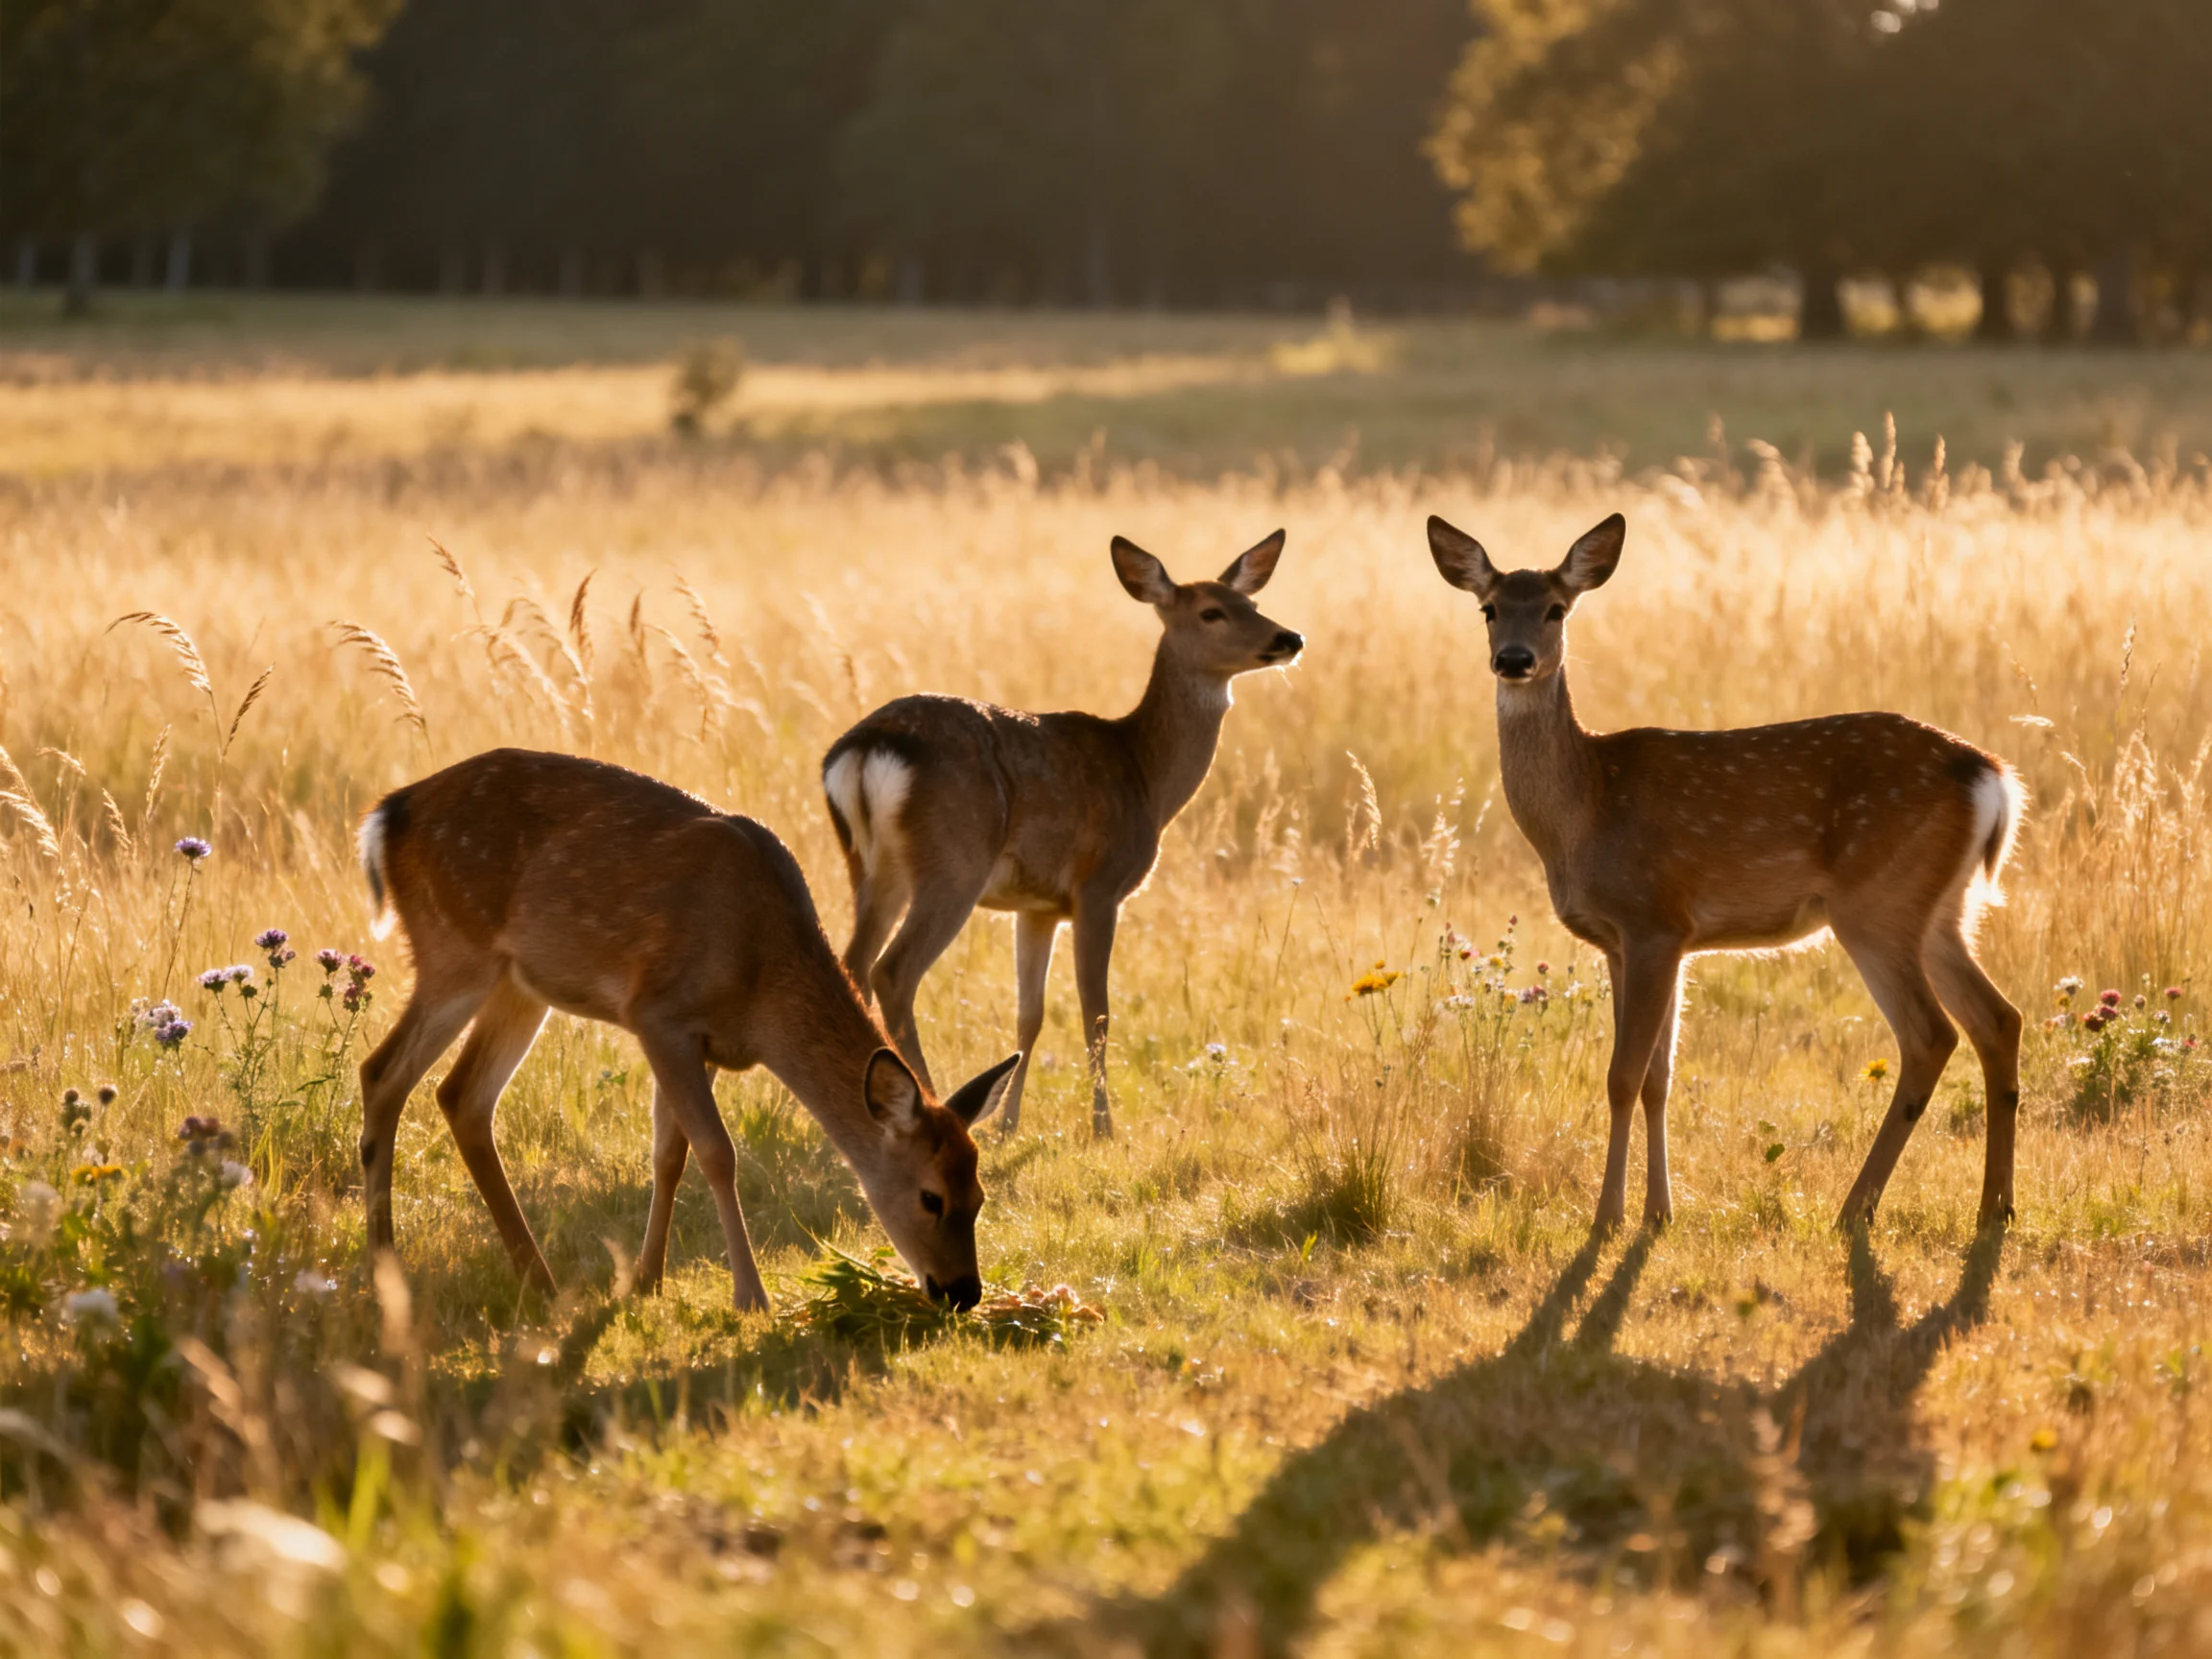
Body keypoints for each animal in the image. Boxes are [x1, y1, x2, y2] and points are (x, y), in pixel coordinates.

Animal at [354, 748, 1021, 1312]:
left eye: (980, 1196)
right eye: (931, 1197)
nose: (964, 1292)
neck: (760, 986)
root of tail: (387, 817)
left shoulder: (703, 1043)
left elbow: (669, 1153)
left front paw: (647, 1279)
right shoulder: (658, 1013)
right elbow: (717, 1152)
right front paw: (750, 1296)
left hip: (518, 984)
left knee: (460, 1095)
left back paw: (536, 1278)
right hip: (454, 948)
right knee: (382, 1071)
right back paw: (385, 1264)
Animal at [822, 530, 1303, 1139]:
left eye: (1253, 603)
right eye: (1211, 612)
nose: (1290, 637)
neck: (1145, 778)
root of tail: (867, 748)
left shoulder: (1037, 905)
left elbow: (1030, 1014)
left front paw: (1009, 1124)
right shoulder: (1099, 887)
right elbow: (1096, 1011)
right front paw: (1103, 1127)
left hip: (869, 865)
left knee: (852, 964)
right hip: (952, 863)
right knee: (893, 972)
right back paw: (929, 1105)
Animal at [1426, 512, 2025, 1234]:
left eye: (1555, 608)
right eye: (1488, 608)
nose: (1514, 660)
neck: (1585, 810)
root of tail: (1989, 774)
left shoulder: (1654, 919)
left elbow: (1623, 1076)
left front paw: (1608, 1217)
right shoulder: (1630, 941)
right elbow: (1658, 1077)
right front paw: (1659, 1212)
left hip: (1877, 903)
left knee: (1930, 1034)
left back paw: (1855, 1208)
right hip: (1944, 907)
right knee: (1999, 1019)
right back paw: (1995, 1207)